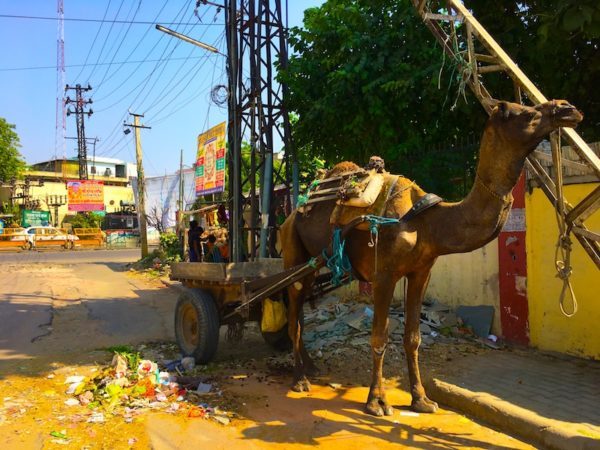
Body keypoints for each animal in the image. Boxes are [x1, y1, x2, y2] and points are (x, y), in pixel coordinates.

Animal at [282, 100, 580, 416]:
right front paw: (377, 402)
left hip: (312, 267)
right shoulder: (383, 274)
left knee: (299, 314)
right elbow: (379, 336)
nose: (568, 109)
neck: (427, 222)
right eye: (525, 112)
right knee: (294, 318)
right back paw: (300, 380)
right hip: (293, 252)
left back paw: (311, 368)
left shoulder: (421, 272)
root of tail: (291, 214)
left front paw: (422, 399)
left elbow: (413, 338)